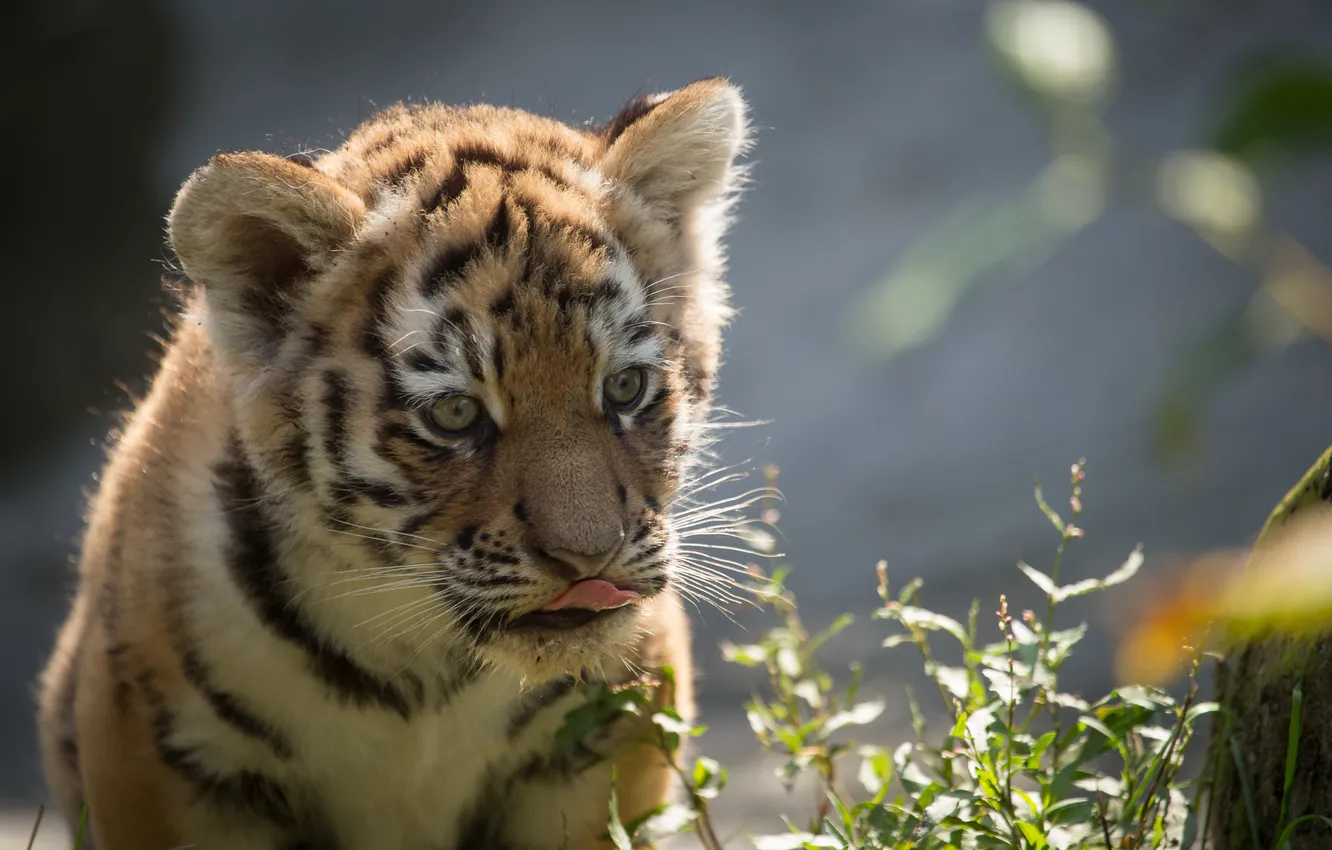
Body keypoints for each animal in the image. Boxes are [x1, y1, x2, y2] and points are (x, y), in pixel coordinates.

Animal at [35, 76, 751, 850]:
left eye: (624, 387)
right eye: (455, 413)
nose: (589, 558)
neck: (419, 664)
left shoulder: (596, 747)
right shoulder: (170, 762)